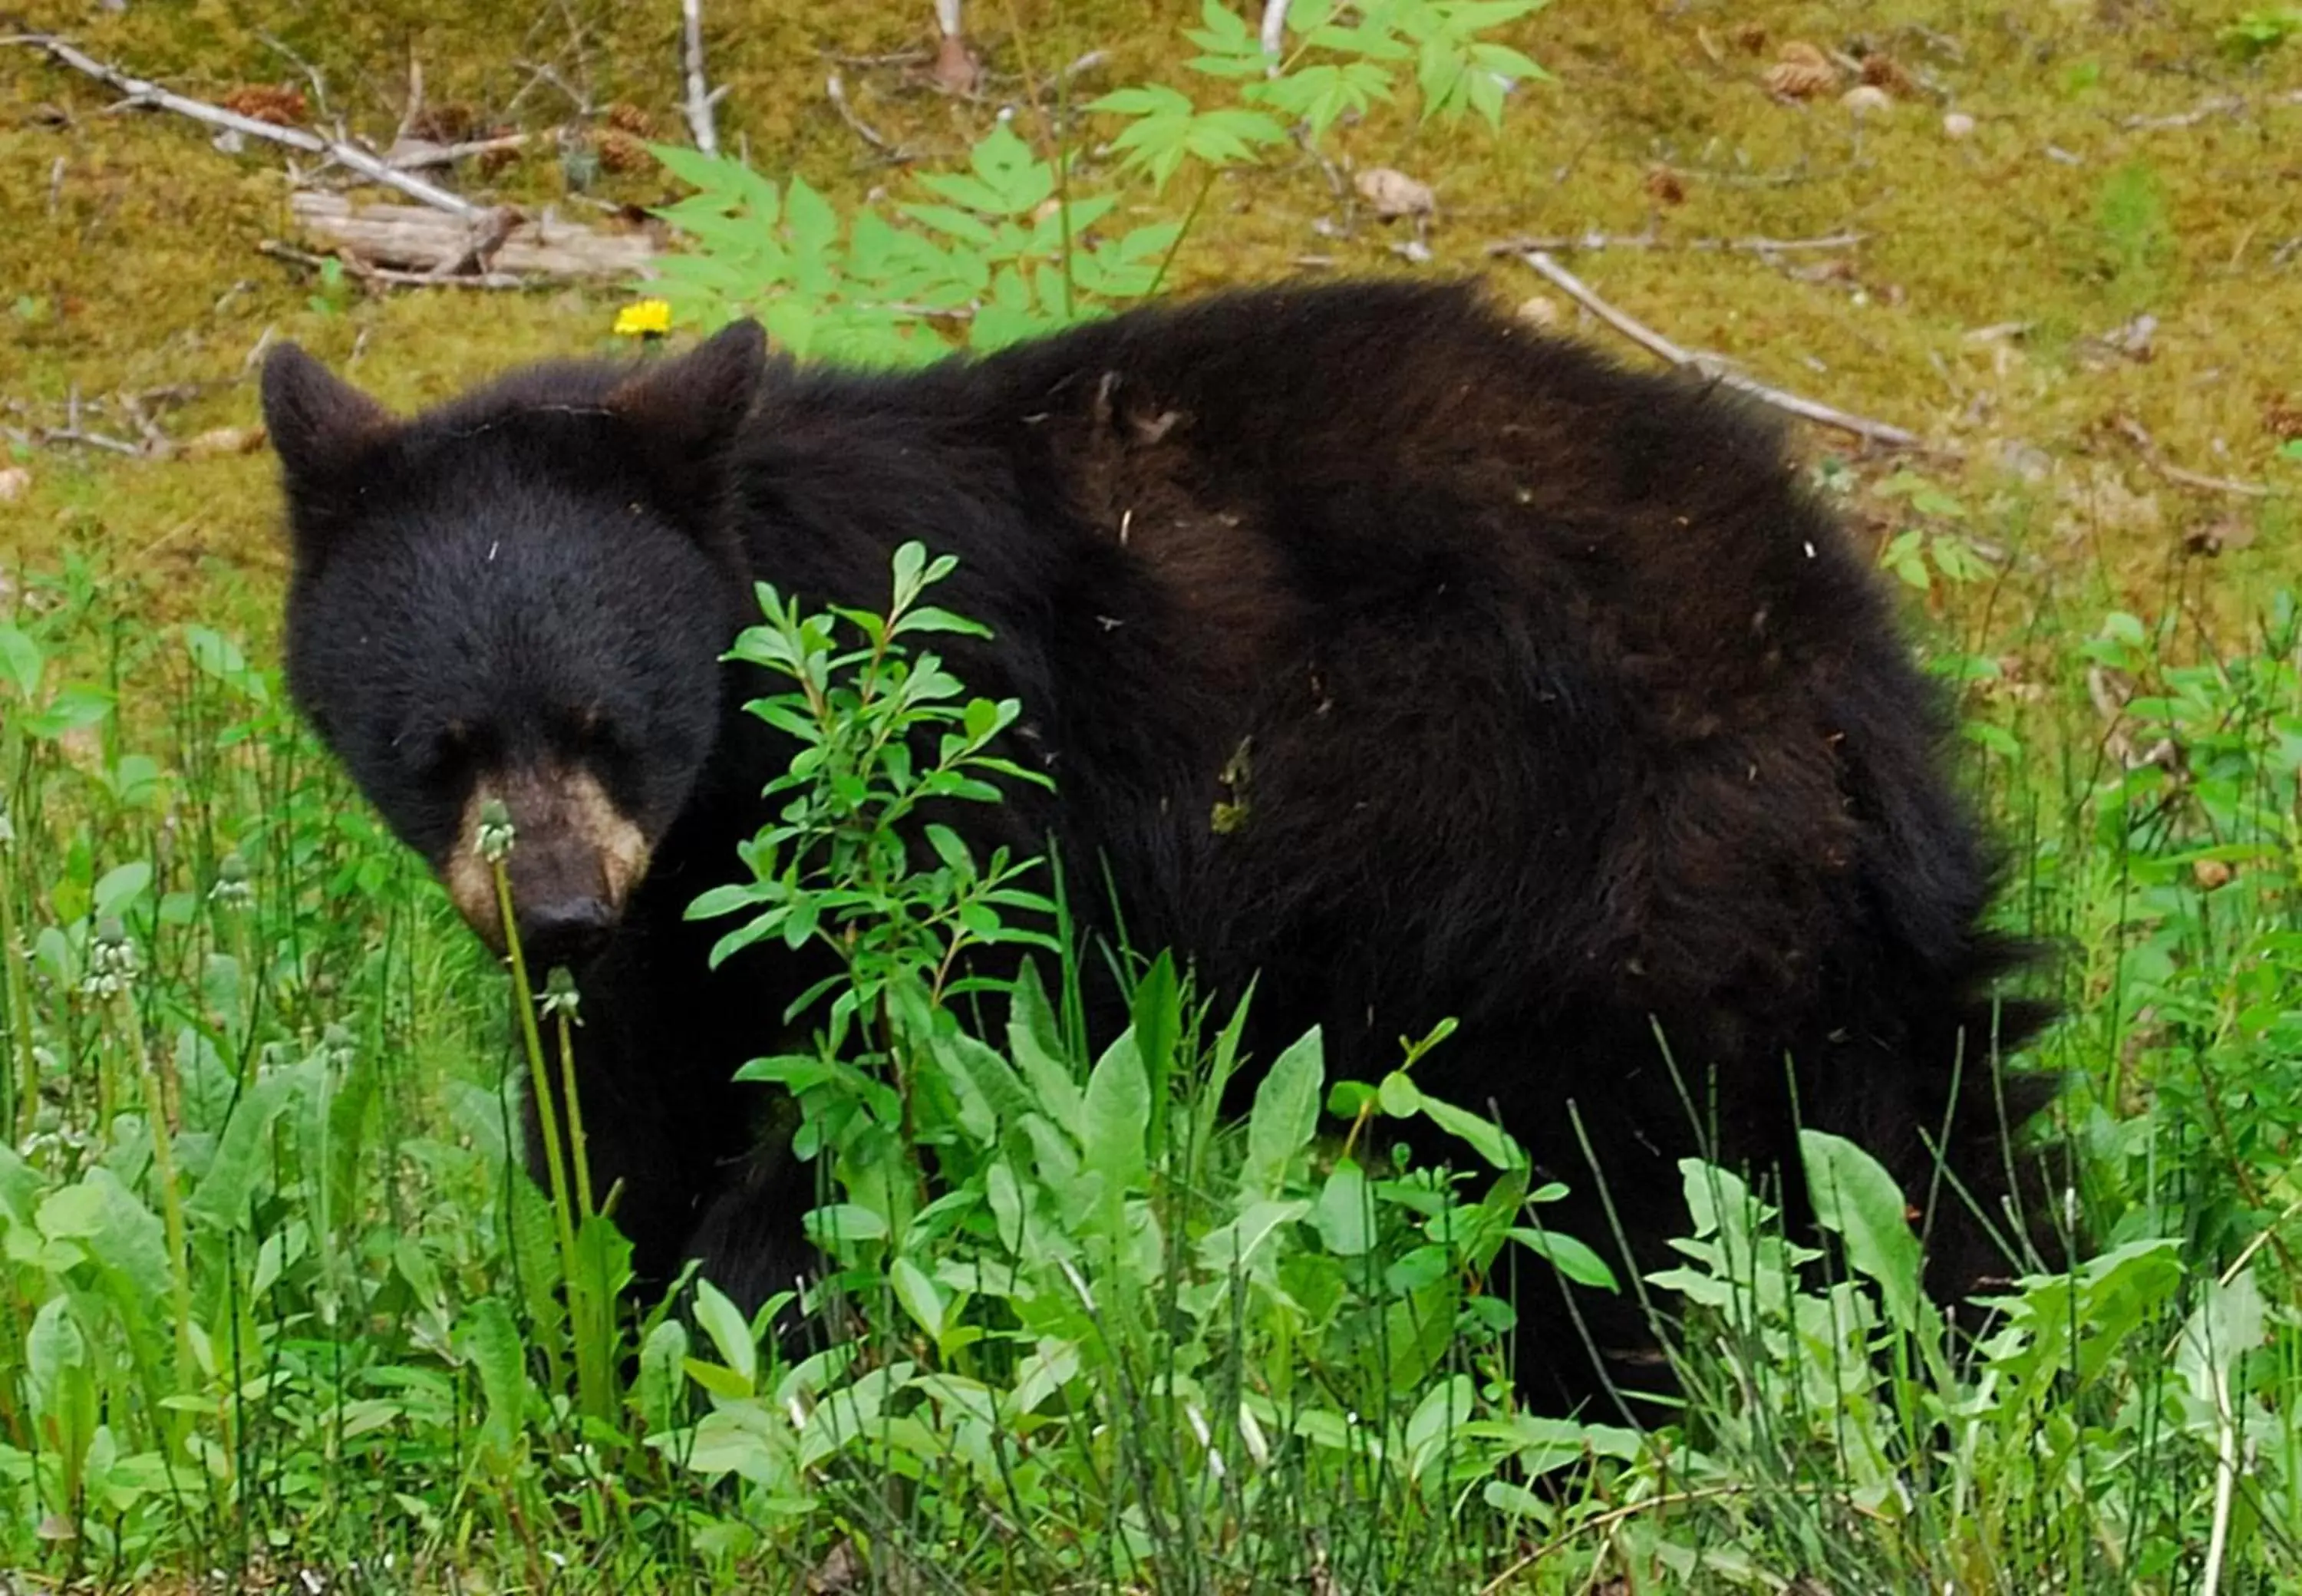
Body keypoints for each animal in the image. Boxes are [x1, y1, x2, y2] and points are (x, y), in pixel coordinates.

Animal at [261, 277, 2063, 1409]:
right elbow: (621, 1122)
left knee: (1631, 1182)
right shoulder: (671, 922)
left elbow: (895, 1076)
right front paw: (606, 1363)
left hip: (1603, 874)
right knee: (1915, 1129)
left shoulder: (958, 785)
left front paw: (741, 1339)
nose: (556, 909)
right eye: (442, 746)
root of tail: (1830, 642)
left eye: (605, 724)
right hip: (1789, 922)